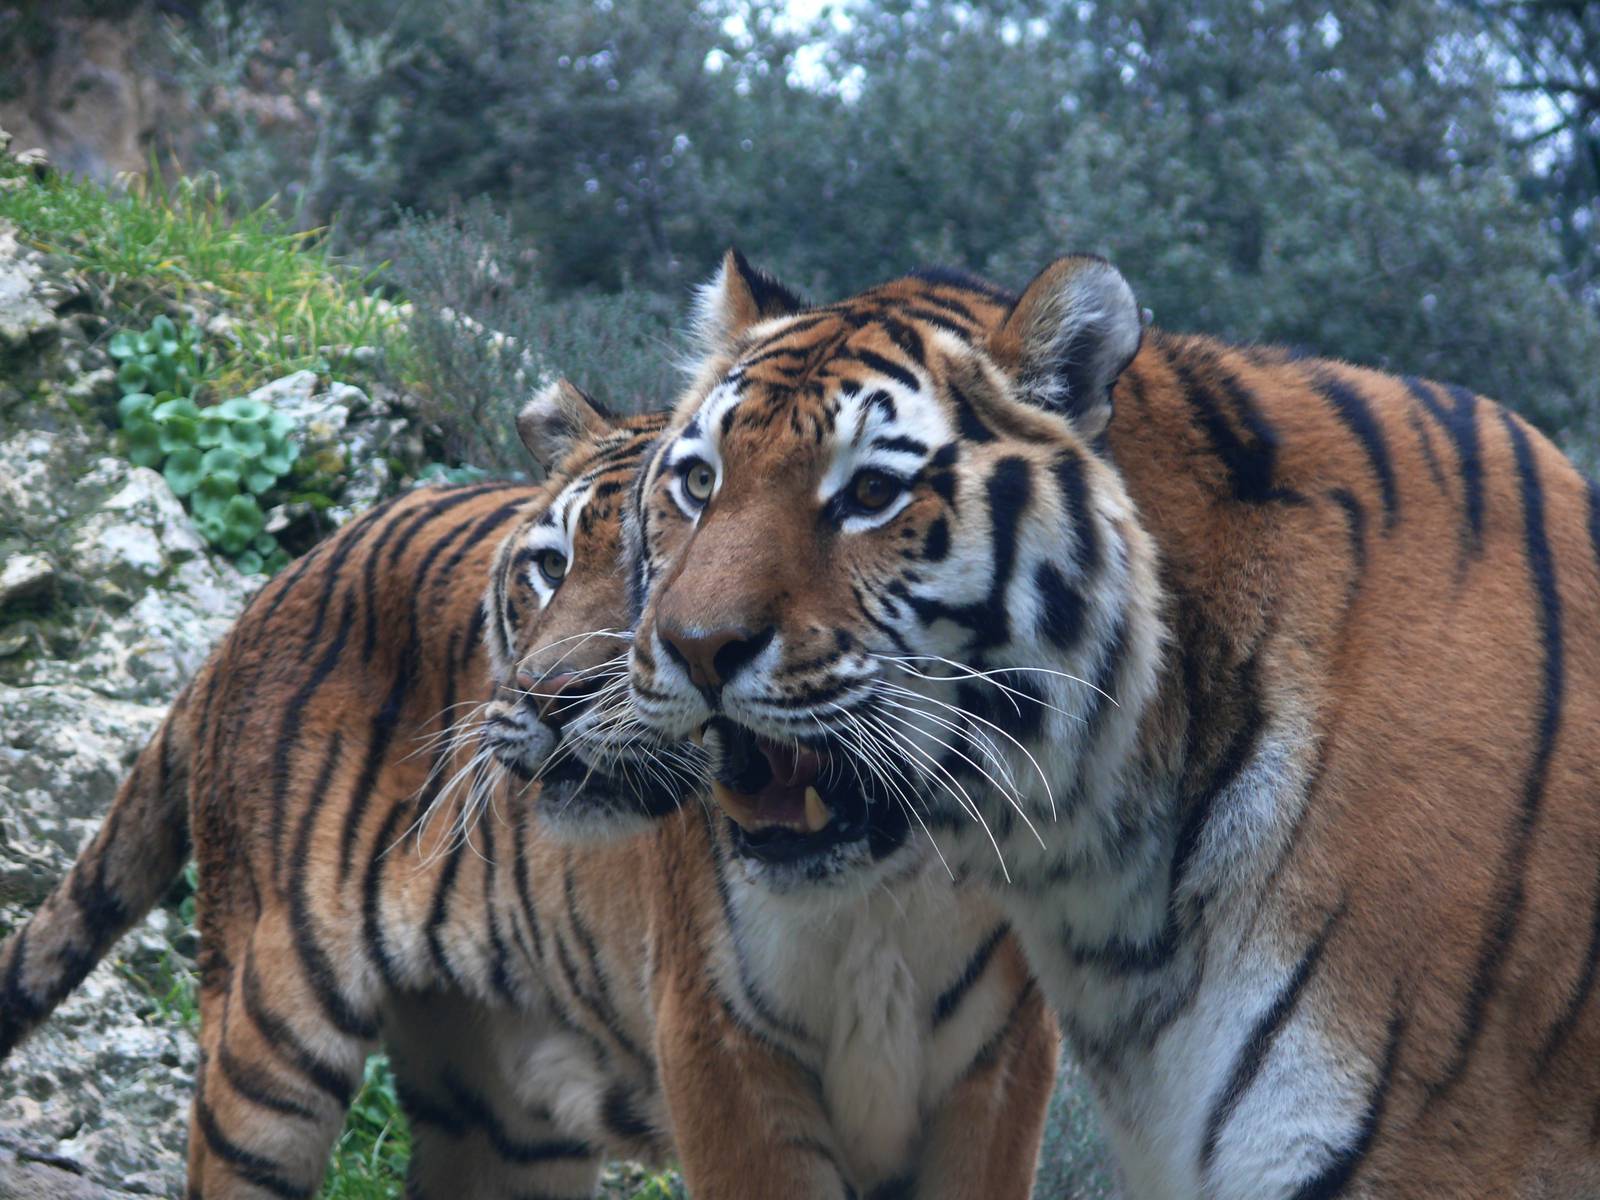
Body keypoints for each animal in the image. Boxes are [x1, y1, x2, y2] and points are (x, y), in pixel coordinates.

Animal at [0, 377, 1058, 1199]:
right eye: (551, 567)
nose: (549, 695)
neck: (880, 862)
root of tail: (264, 596)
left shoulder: (998, 1068)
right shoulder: (723, 1049)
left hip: (506, 1121)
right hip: (266, 1038)